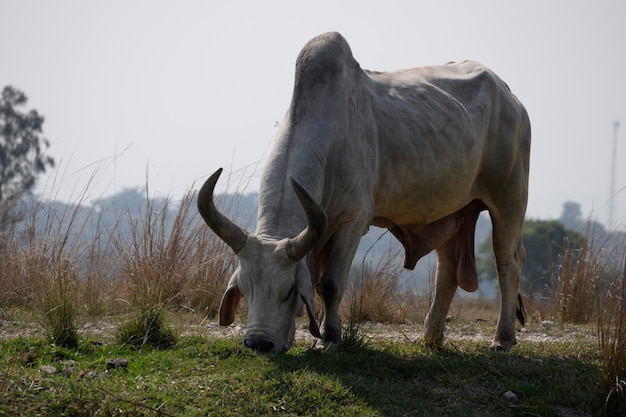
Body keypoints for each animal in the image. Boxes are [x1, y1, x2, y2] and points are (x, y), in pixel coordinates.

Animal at [197, 31, 528, 352]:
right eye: (244, 288)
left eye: (289, 290)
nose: (259, 343)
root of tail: (510, 95)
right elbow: (318, 282)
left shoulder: (352, 220)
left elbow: (329, 283)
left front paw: (329, 337)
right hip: (452, 210)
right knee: (447, 271)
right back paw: (431, 337)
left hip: (510, 200)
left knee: (507, 265)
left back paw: (502, 339)